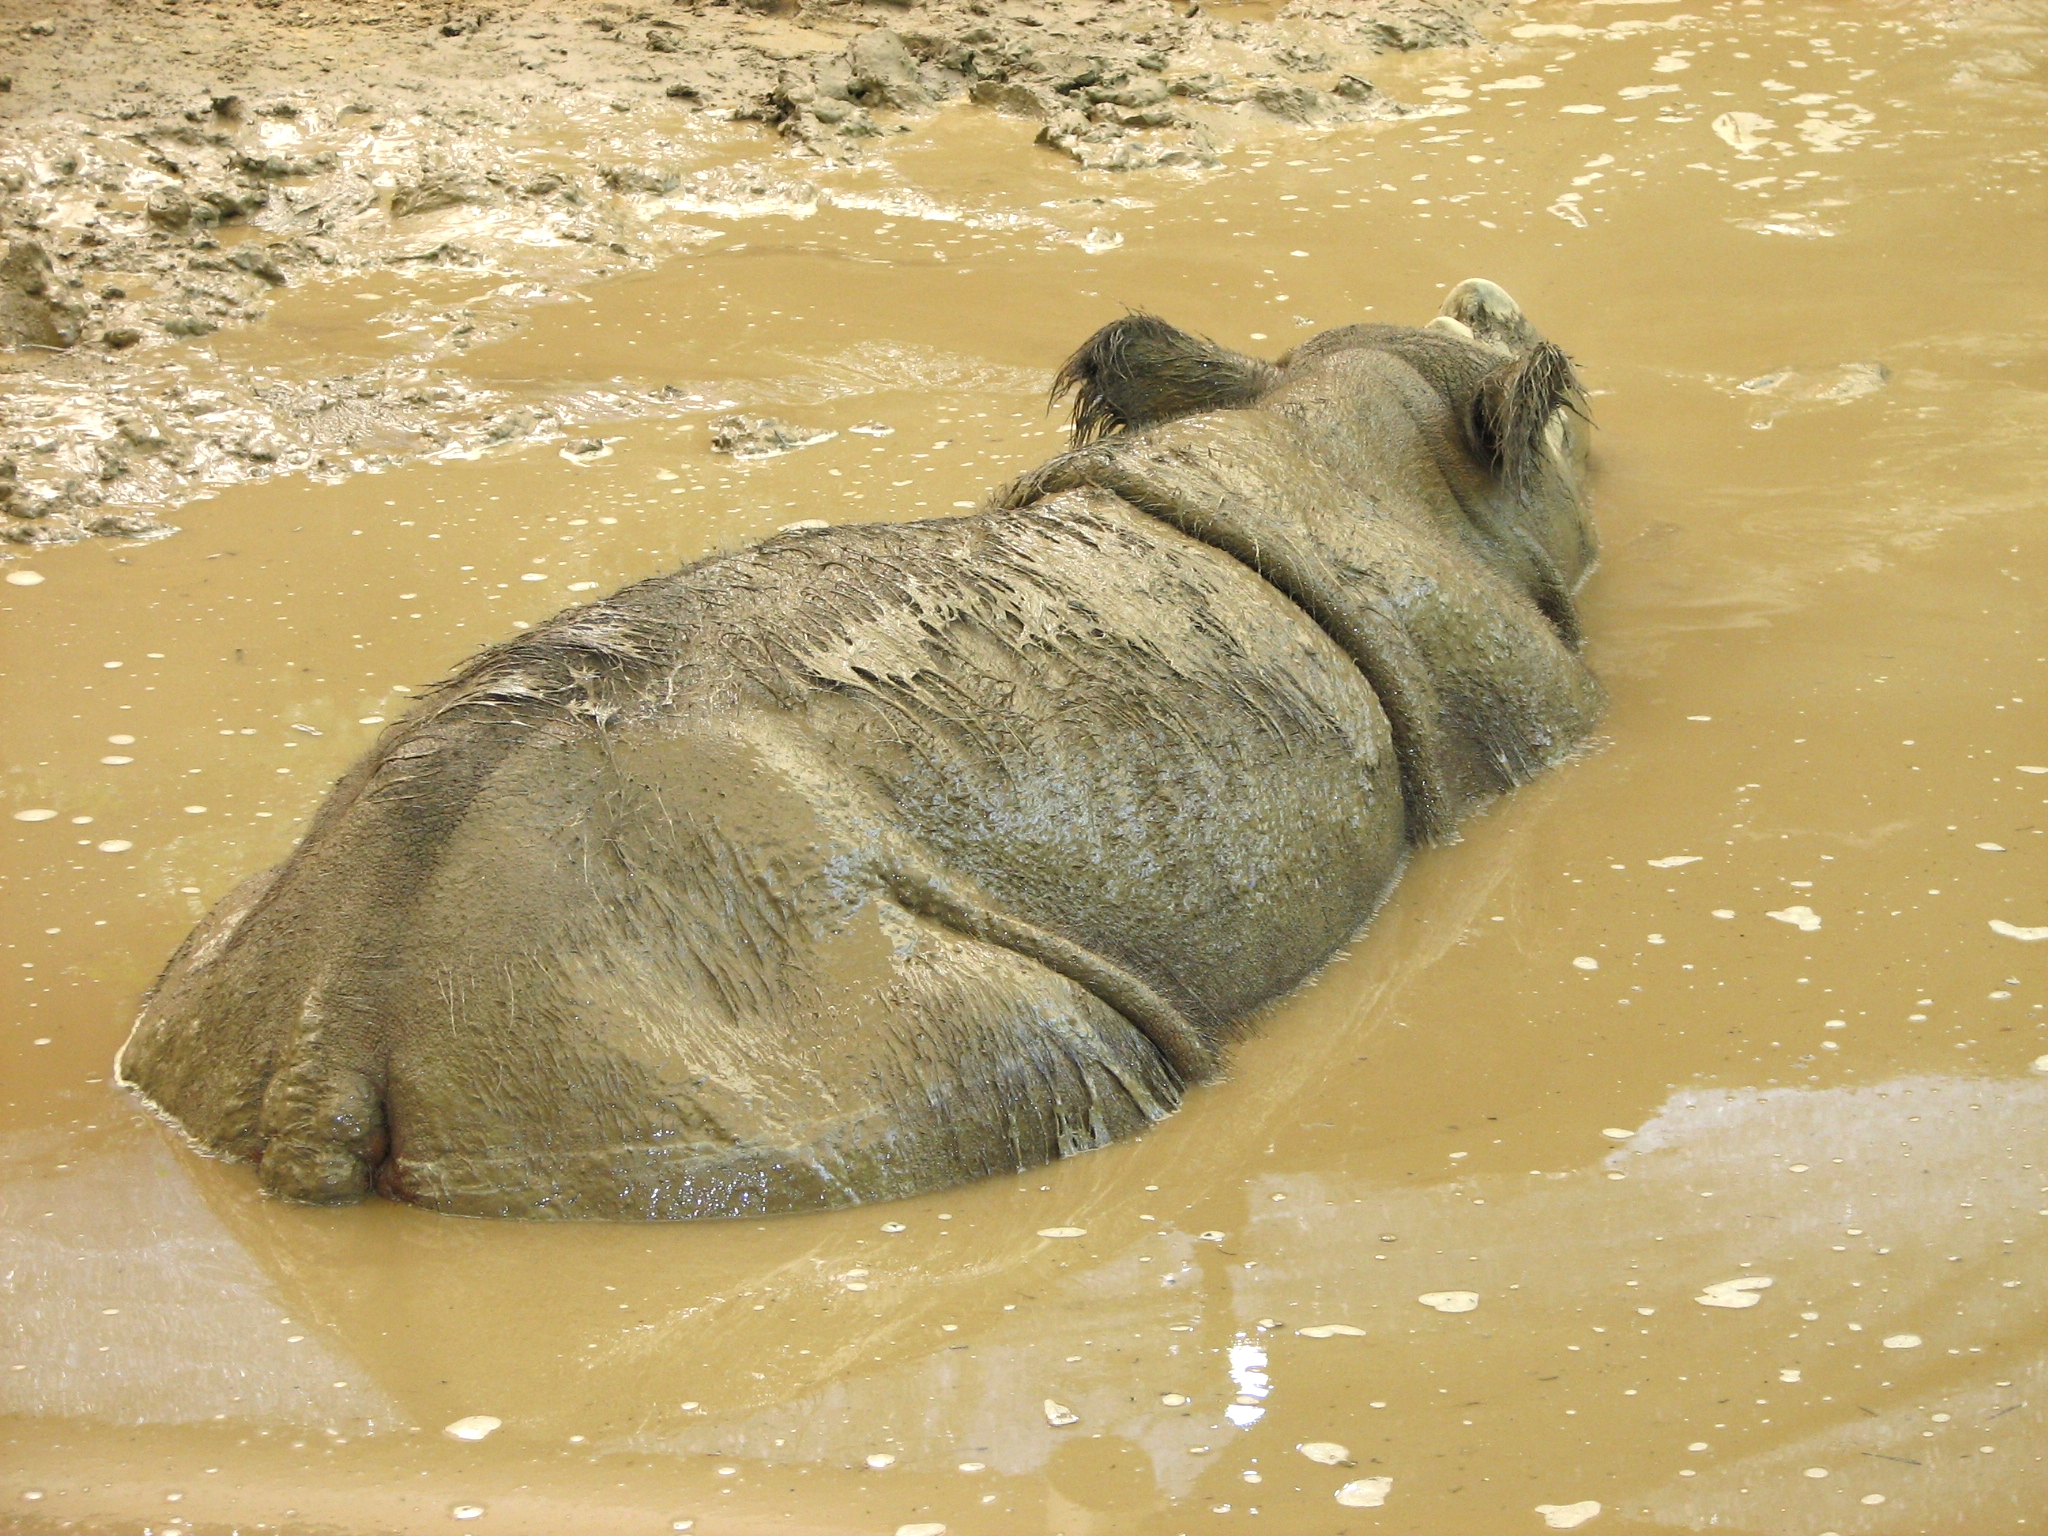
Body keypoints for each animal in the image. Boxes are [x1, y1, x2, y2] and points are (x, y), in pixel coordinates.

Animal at [117, 279, 1601, 1219]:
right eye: (1575, 420)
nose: (1492, 285)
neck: (1343, 443)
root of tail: (332, 1034)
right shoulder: (1527, 707)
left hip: (311, 978)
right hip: (734, 1012)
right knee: (1068, 1056)